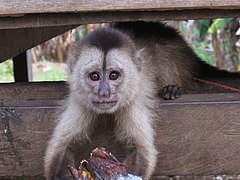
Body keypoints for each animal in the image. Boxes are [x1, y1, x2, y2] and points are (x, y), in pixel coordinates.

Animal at [44, 20, 239, 179]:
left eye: (114, 75)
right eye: (94, 76)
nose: (104, 93)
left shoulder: (133, 99)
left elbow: (141, 150)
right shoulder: (80, 99)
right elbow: (62, 146)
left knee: (162, 50)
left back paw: (171, 88)